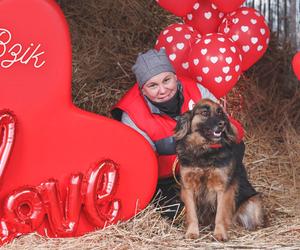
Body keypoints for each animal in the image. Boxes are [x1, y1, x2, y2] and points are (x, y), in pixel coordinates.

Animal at [175, 98, 264, 241]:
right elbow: (192, 214)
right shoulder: (188, 187)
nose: (222, 124)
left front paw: (220, 233)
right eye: (205, 113)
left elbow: (221, 214)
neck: (205, 150)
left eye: (220, 112)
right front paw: (192, 232)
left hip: (252, 203)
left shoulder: (223, 188)